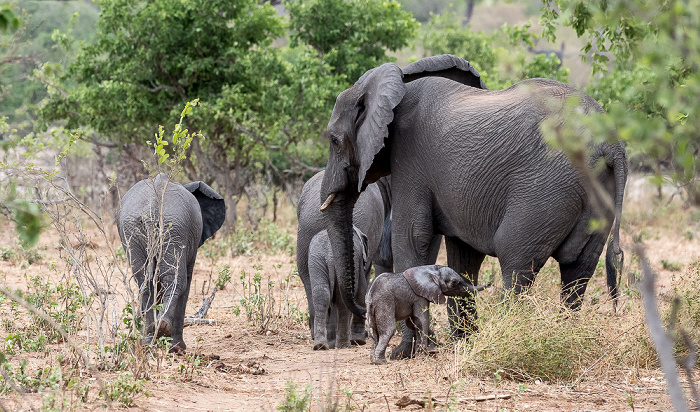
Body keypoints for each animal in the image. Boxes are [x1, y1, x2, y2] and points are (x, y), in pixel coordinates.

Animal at [116, 173, 223, 350]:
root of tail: (153, 208)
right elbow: (187, 279)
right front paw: (179, 347)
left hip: (139, 230)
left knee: (145, 282)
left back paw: (150, 339)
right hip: (175, 229)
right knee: (177, 281)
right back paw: (171, 341)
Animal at [320, 54, 628, 358]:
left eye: (333, 140)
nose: (364, 310)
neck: (398, 80)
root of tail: (612, 144)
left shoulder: (410, 160)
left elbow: (412, 237)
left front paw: (404, 353)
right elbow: (463, 255)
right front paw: (462, 342)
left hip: (545, 188)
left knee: (516, 262)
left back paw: (507, 343)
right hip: (596, 190)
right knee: (578, 268)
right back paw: (566, 338)